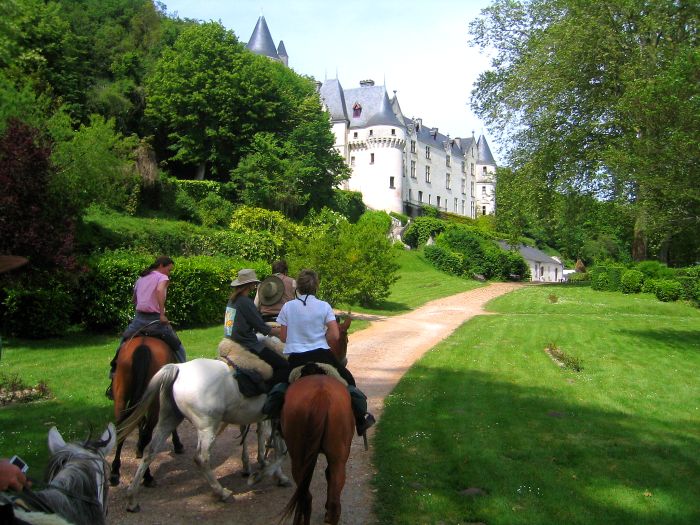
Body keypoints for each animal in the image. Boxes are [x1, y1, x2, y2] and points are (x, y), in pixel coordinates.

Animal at [109, 336, 183, 488]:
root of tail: (143, 346)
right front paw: (178, 444)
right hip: (154, 402)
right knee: (146, 435)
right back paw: (147, 476)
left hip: (121, 398)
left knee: (122, 430)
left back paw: (115, 472)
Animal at [117, 356, 290, 512]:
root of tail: (179, 368)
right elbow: (280, 450)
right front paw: (265, 474)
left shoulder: (270, 418)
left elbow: (273, 444)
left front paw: (270, 471)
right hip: (207, 428)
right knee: (201, 458)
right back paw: (221, 492)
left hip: (169, 419)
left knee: (150, 452)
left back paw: (131, 499)